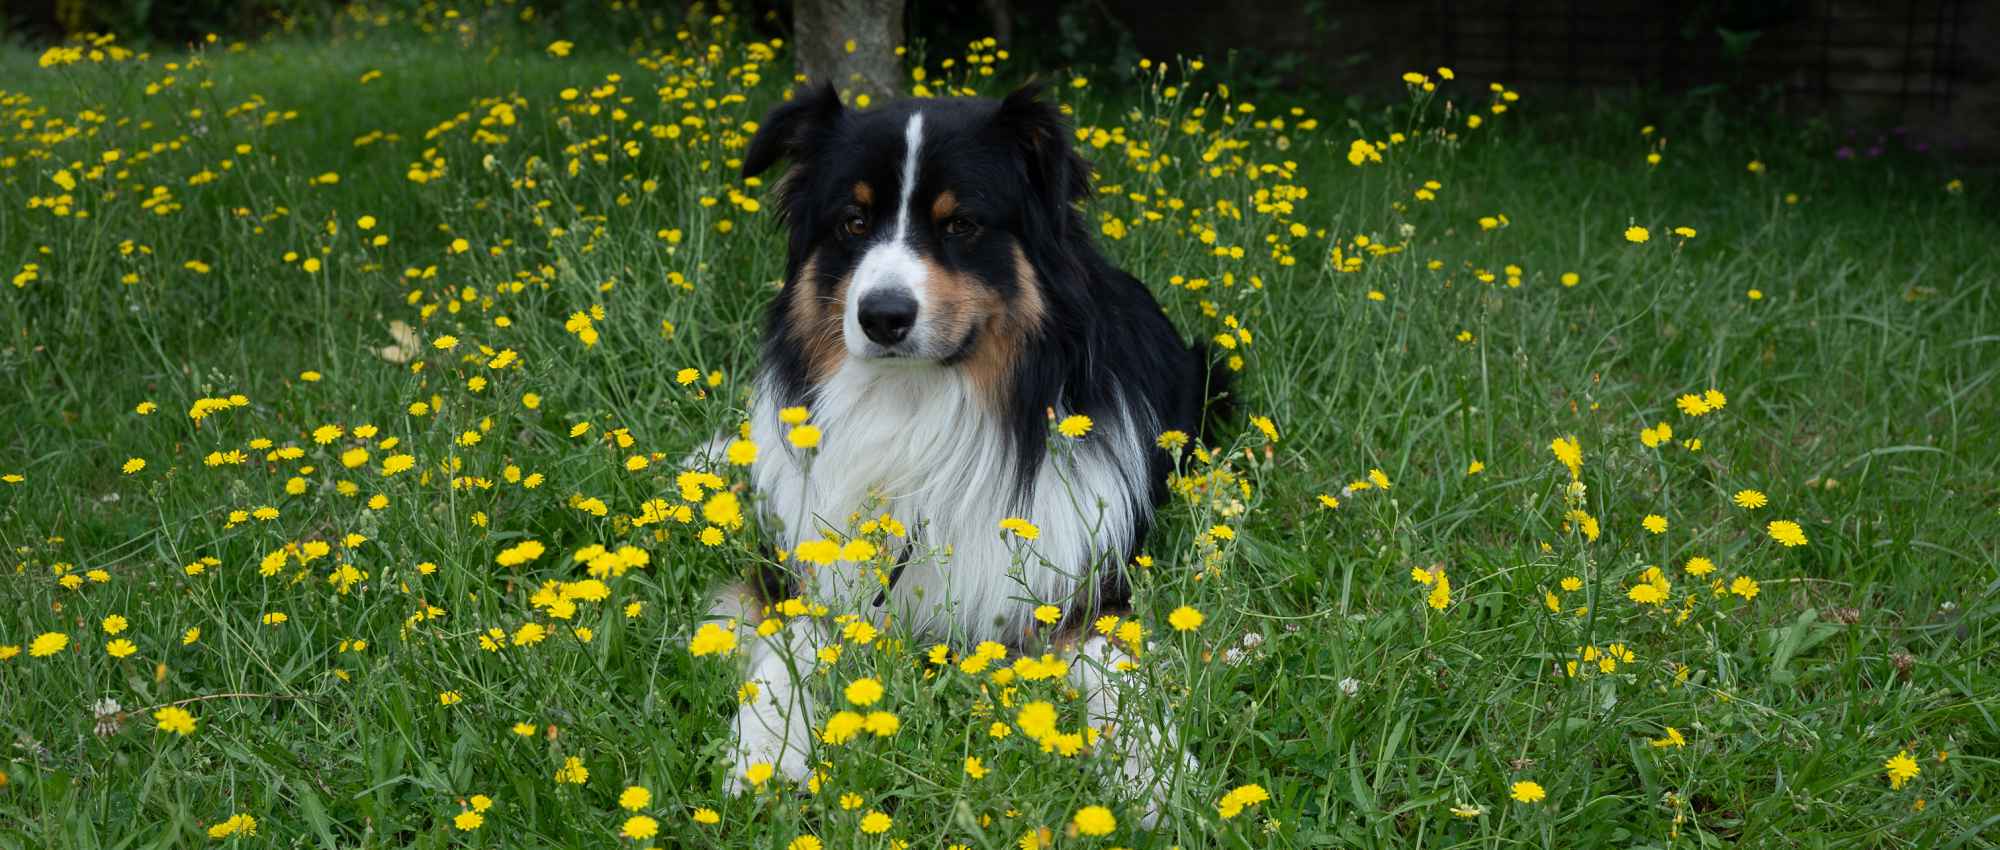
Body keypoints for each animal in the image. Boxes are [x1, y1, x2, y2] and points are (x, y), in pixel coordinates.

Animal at [702, 83, 1223, 821]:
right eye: (853, 222)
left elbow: (1116, 676)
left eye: (961, 225)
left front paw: (1154, 775)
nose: (882, 316)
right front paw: (765, 752)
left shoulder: (1089, 587)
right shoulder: (803, 572)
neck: (920, 407)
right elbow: (787, 647)